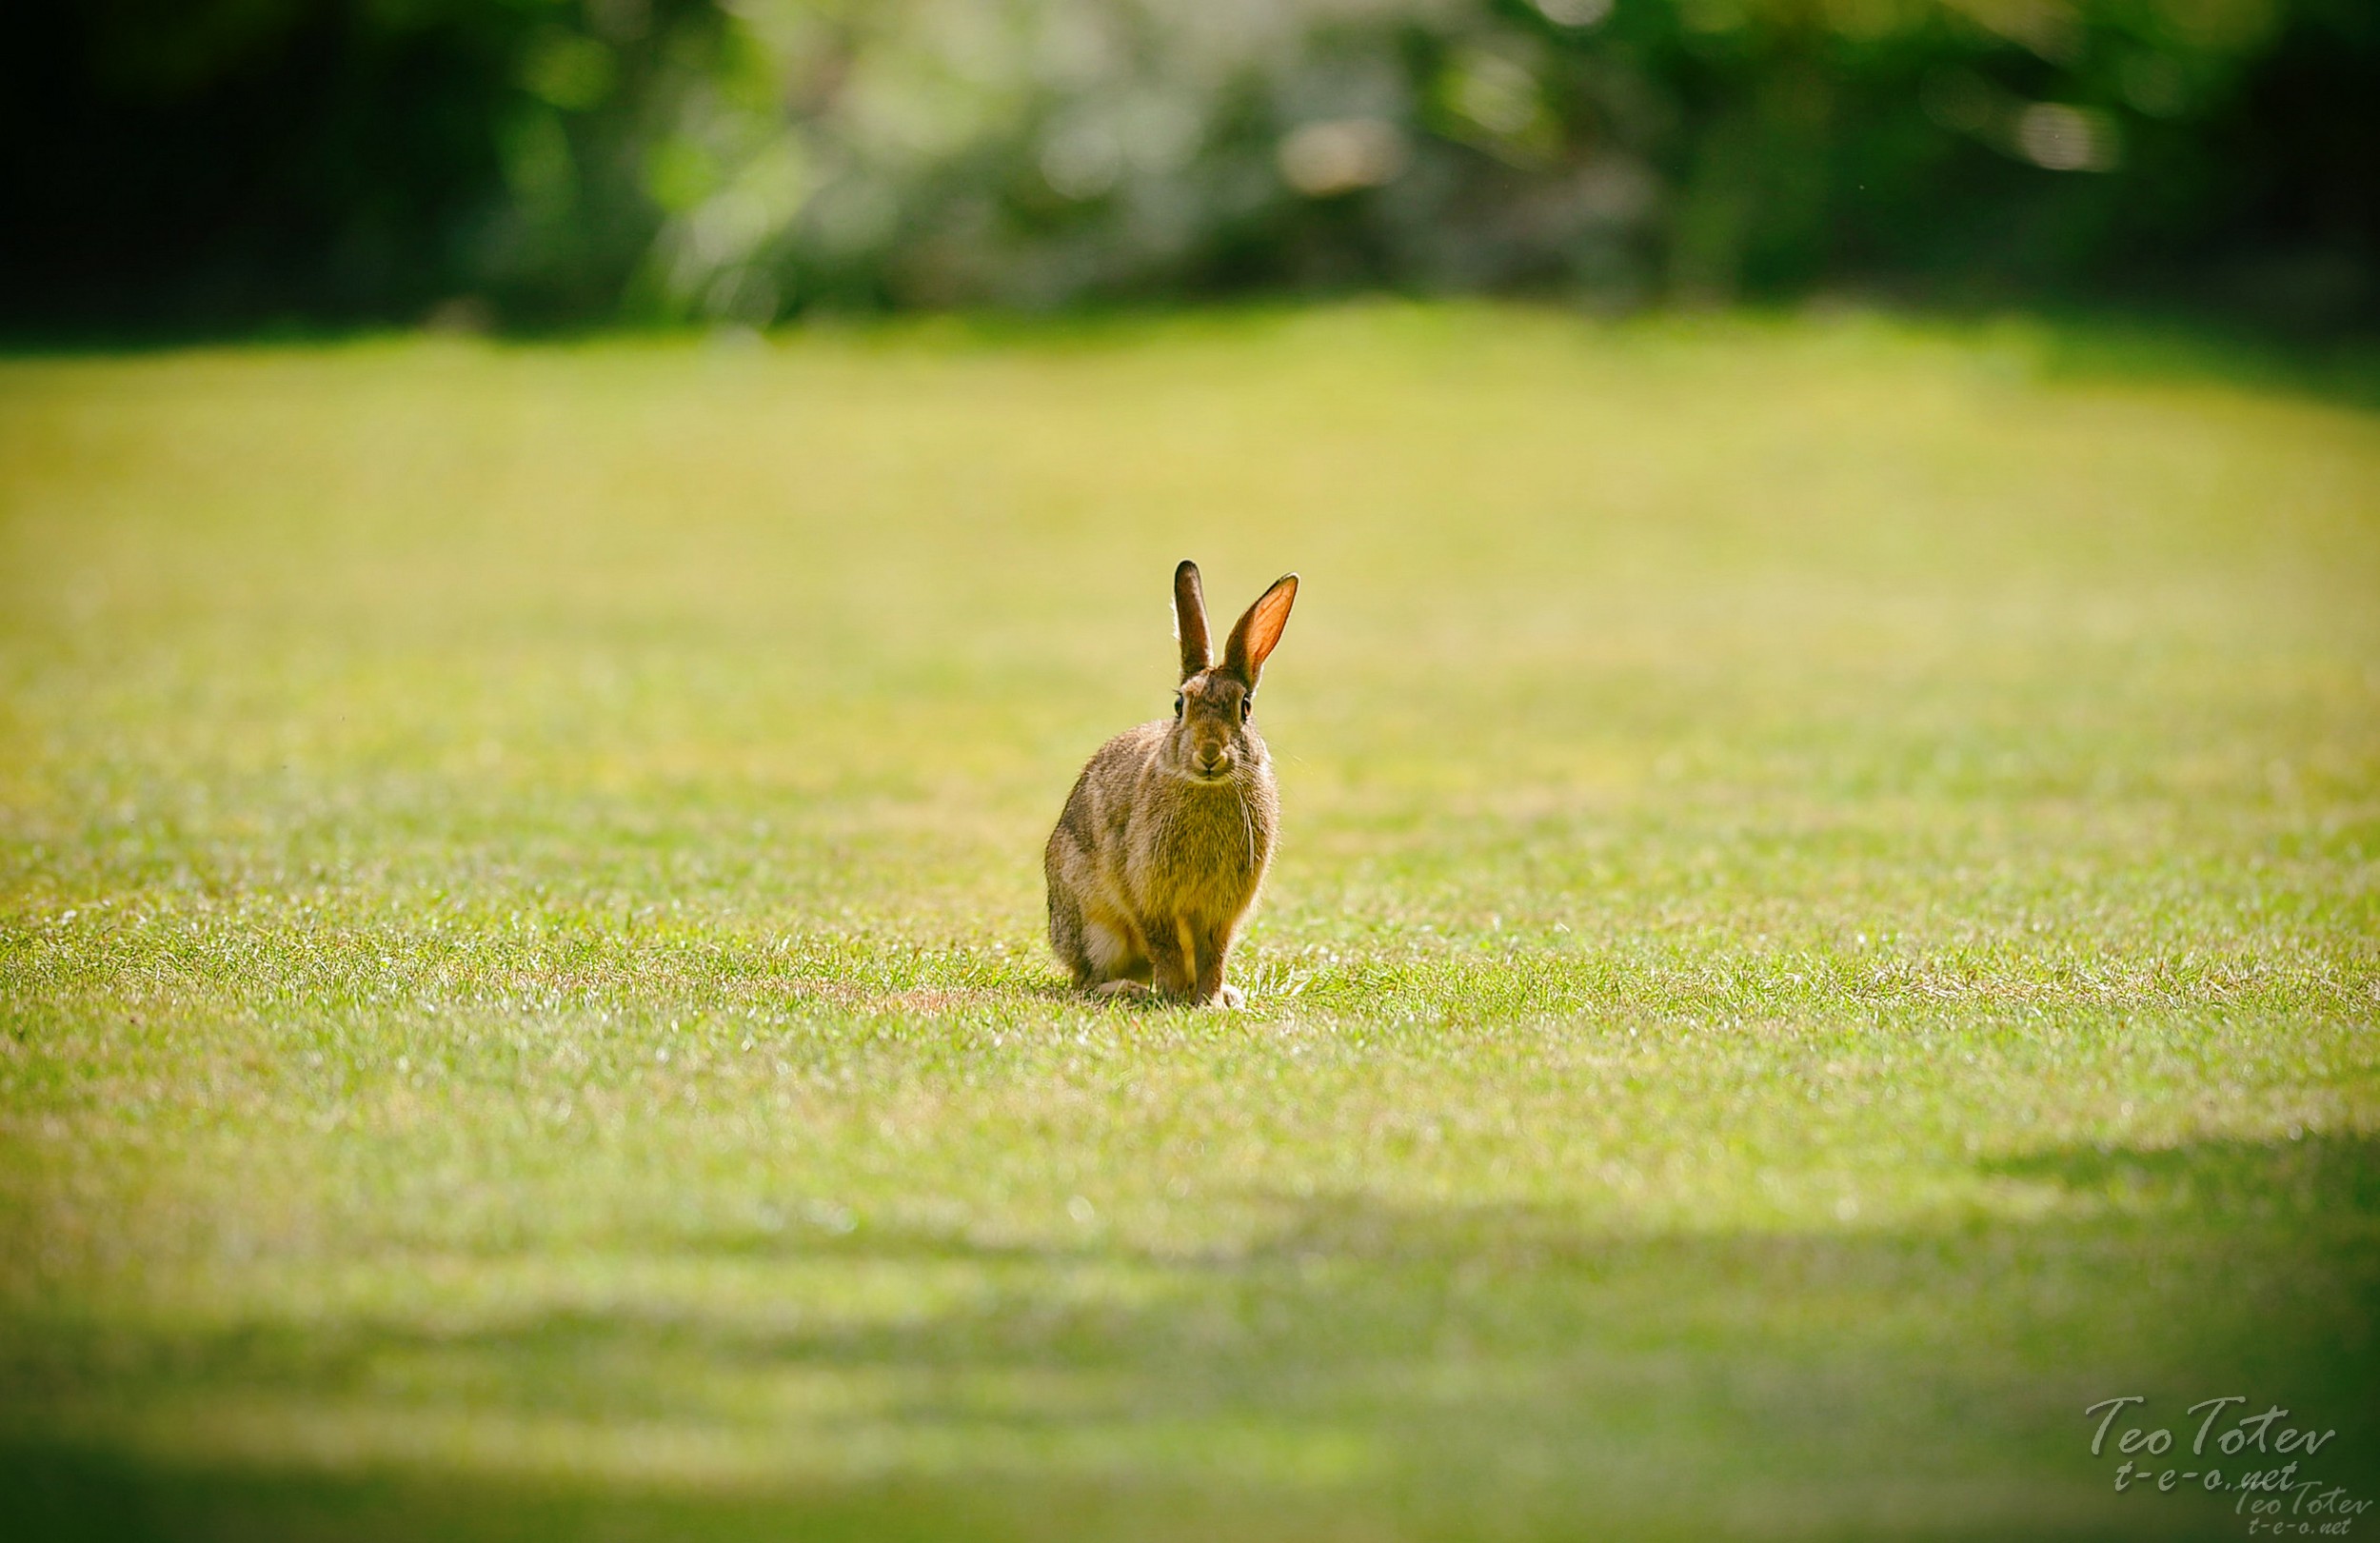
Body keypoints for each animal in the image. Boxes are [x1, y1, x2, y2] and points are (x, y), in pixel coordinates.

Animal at [1045, 560, 1299, 1007]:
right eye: (1180, 704)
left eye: (1245, 708)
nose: (1210, 753)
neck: (1208, 790)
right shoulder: (1148, 895)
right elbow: (1164, 944)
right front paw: (1175, 995)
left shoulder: (1220, 911)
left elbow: (1214, 951)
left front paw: (1210, 1000)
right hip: (1094, 925)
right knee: (1086, 978)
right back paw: (1129, 988)